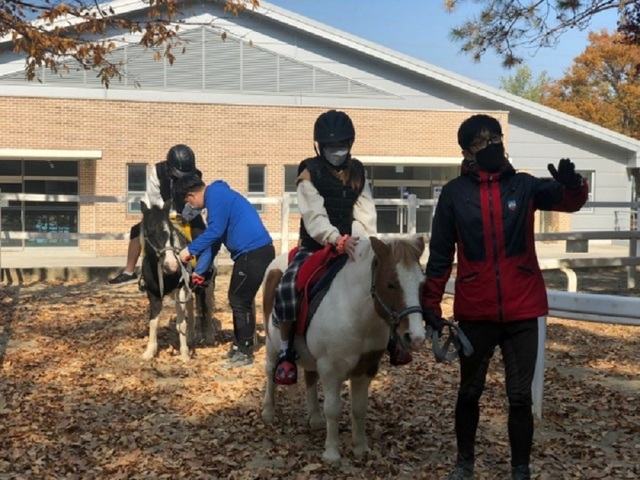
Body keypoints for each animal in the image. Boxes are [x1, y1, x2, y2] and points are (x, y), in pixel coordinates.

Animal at [139, 200, 216, 360]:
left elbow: (181, 324)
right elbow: (153, 322)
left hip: (208, 285)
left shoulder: (180, 290)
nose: (172, 265)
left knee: (208, 307)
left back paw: (210, 336)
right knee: (191, 309)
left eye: (170, 232)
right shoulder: (153, 294)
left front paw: (185, 354)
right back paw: (191, 337)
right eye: (150, 232)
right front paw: (149, 352)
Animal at [260, 235, 424, 462]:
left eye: (422, 284)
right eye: (390, 284)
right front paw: (331, 453)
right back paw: (268, 412)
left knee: (310, 377)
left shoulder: (366, 368)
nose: (415, 337)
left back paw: (316, 418)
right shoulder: (330, 369)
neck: (355, 312)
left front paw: (360, 447)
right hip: (271, 343)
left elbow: (359, 408)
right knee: (270, 371)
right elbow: (333, 409)